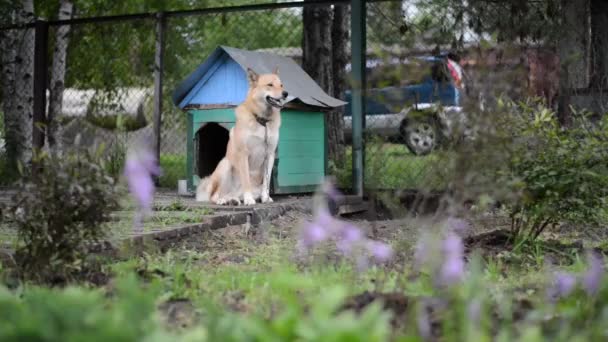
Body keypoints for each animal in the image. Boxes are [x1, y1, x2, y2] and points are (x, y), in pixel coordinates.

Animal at [196, 67, 288, 206]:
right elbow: (246, 180)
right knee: (215, 195)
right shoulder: (243, 154)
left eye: (281, 85)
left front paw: (265, 198)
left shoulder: (270, 154)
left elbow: (266, 184)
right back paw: (223, 200)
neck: (262, 121)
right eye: (270, 85)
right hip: (225, 164)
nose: (285, 93)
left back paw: (233, 200)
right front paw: (249, 199)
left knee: (233, 195)